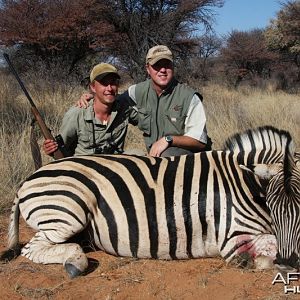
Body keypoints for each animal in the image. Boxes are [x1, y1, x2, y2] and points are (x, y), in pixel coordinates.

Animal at [0, 125, 300, 278]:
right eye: (273, 206)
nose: (289, 261)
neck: (245, 183)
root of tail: (28, 179)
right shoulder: (233, 240)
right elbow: (264, 253)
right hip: (68, 211)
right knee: (33, 249)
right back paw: (75, 262)